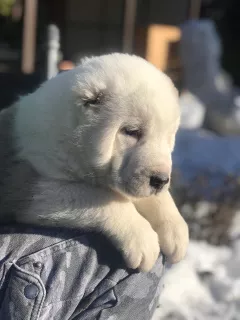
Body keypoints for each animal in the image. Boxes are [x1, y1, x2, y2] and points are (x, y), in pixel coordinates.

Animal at [0, 53, 189, 272]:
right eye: (132, 131)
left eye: (168, 137)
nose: (160, 180)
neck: (72, 138)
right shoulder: (33, 188)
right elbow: (100, 198)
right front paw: (143, 240)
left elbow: (157, 198)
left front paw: (175, 230)